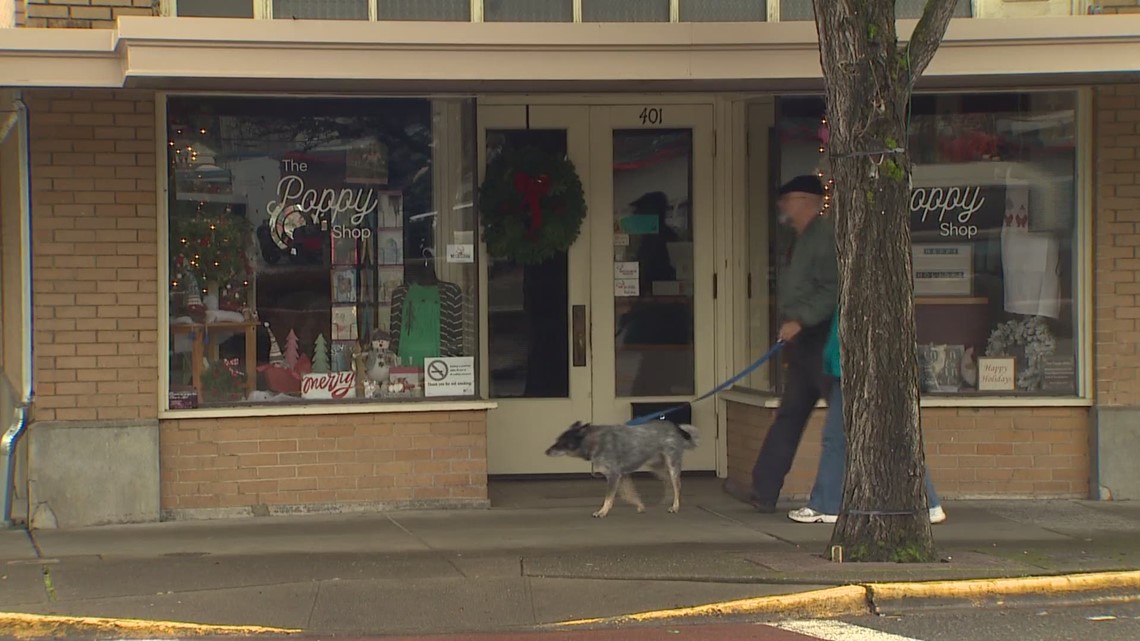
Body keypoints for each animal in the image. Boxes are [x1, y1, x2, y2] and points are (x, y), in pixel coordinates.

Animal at [540, 417, 693, 515]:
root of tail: (674, 426)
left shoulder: (614, 475)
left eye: (563, 442)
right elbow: (629, 494)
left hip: (672, 465)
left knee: (677, 485)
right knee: (669, 483)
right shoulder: (622, 475)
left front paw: (602, 512)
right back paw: (670, 500)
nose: (546, 451)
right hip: (657, 467)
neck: (594, 441)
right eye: (557, 440)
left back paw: (675, 506)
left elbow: (609, 497)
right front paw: (640, 505)